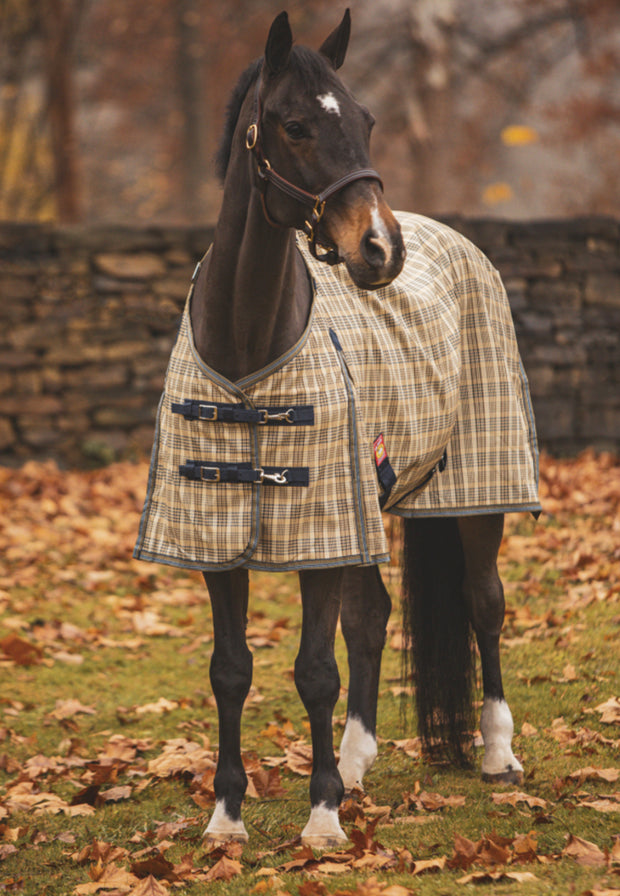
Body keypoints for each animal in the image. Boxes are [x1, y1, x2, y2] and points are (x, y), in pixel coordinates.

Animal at [133, 8, 540, 848]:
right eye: (294, 126)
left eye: (366, 120)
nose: (380, 249)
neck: (249, 345)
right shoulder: (223, 535)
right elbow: (232, 670)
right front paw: (226, 818)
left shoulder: (319, 529)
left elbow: (314, 670)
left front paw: (321, 820)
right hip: (363, 509)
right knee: (373, 618)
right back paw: (355, 764)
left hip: (475, 490)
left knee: (484, 603)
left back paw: (496, 754)